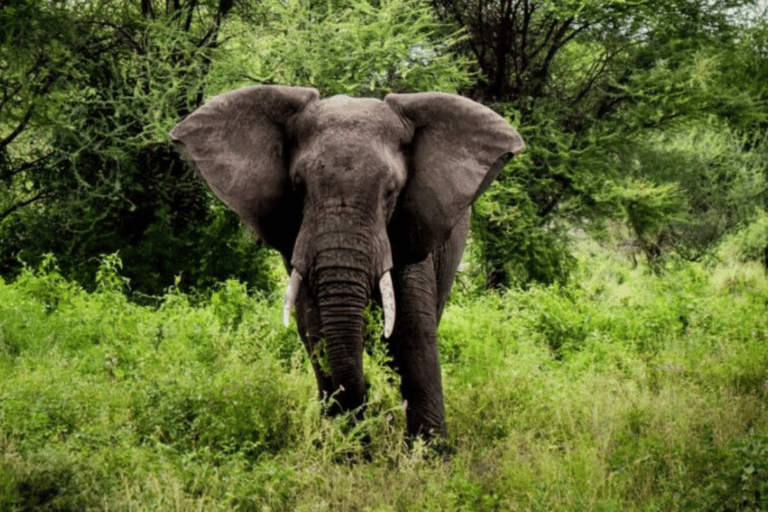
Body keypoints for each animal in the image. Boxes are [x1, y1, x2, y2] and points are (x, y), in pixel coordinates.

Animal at [170, 86, 524, 442]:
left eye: (391, 190)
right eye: (297, 186)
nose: (369, 401)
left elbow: (412, 335)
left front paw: (430, 451)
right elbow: (316, 330)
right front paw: (347, 445)